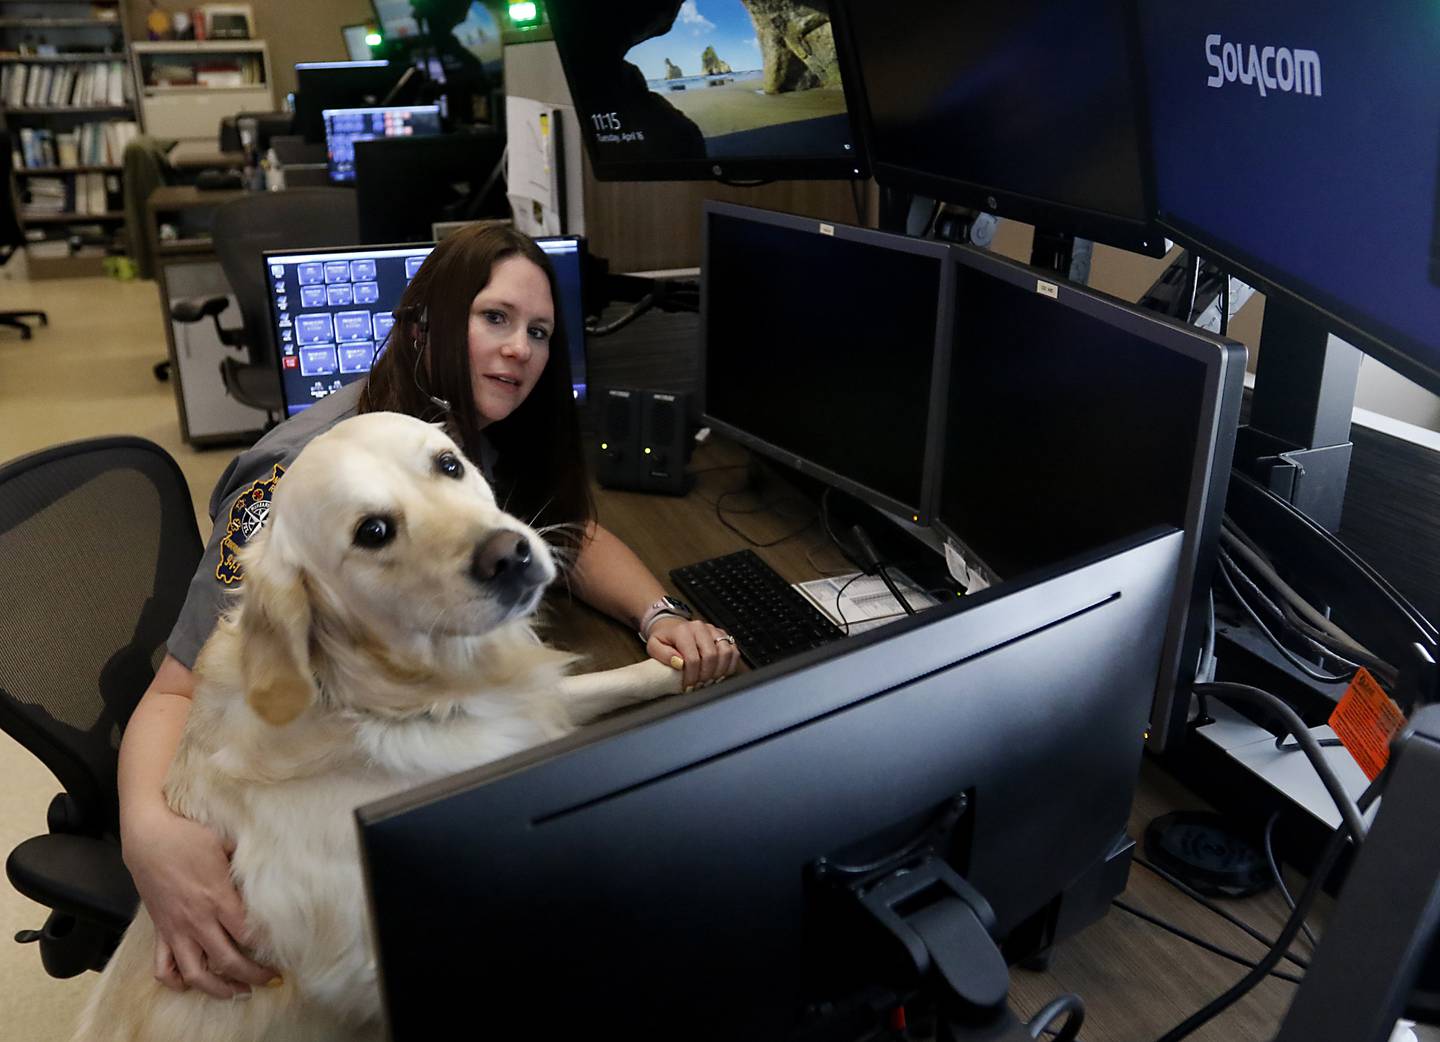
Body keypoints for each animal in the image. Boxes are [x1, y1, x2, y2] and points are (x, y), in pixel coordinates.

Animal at [74, 411, 685, 1036]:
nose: (508, 554)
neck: (391, 701)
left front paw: (685, 662)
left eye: (449, 463)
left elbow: (612, 683)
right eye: (372, 531)